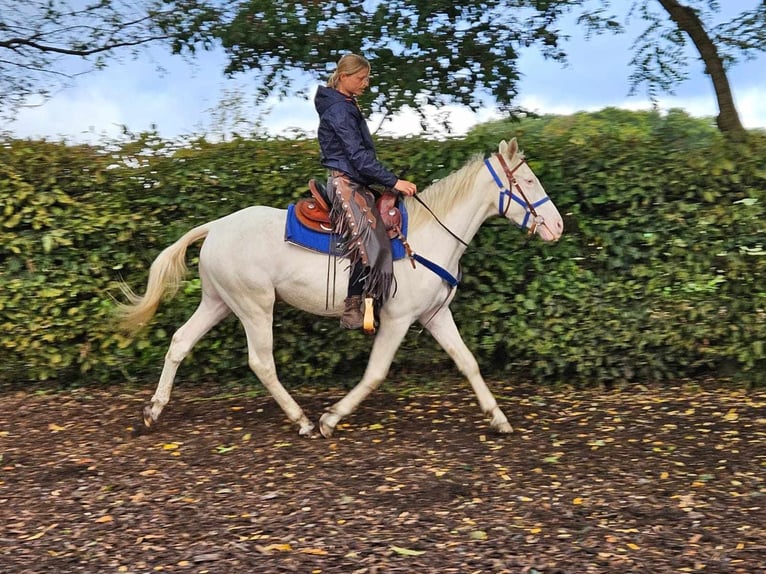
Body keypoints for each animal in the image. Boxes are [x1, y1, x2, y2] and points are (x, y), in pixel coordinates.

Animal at [118, 137, 564, 438]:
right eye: (527, 180)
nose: (558, 226)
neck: (427, 235)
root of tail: (216, 227)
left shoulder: (434, 315)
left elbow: (468, 362)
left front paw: (498, 418)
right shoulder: (398, 318)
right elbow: (376, 371)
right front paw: (331, 418)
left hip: (219, 302)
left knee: (180, 341)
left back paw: (154, 410)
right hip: (254, 306)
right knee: (261, 362)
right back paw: (301, 420)